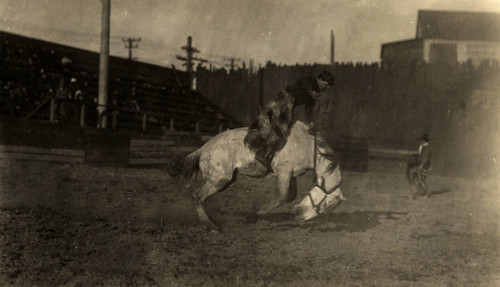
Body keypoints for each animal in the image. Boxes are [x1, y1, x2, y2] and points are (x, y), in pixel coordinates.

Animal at [171, 120, 344, 231]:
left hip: (226, 180)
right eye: (325, 204)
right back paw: (210, 225)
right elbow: (283, 197)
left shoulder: (292, 175)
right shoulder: (284, 172)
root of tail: (203, 148)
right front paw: (254, 214)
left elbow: (290, 196)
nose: (300, 215)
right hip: (219, 180)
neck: (308, 146)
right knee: (198, 196)